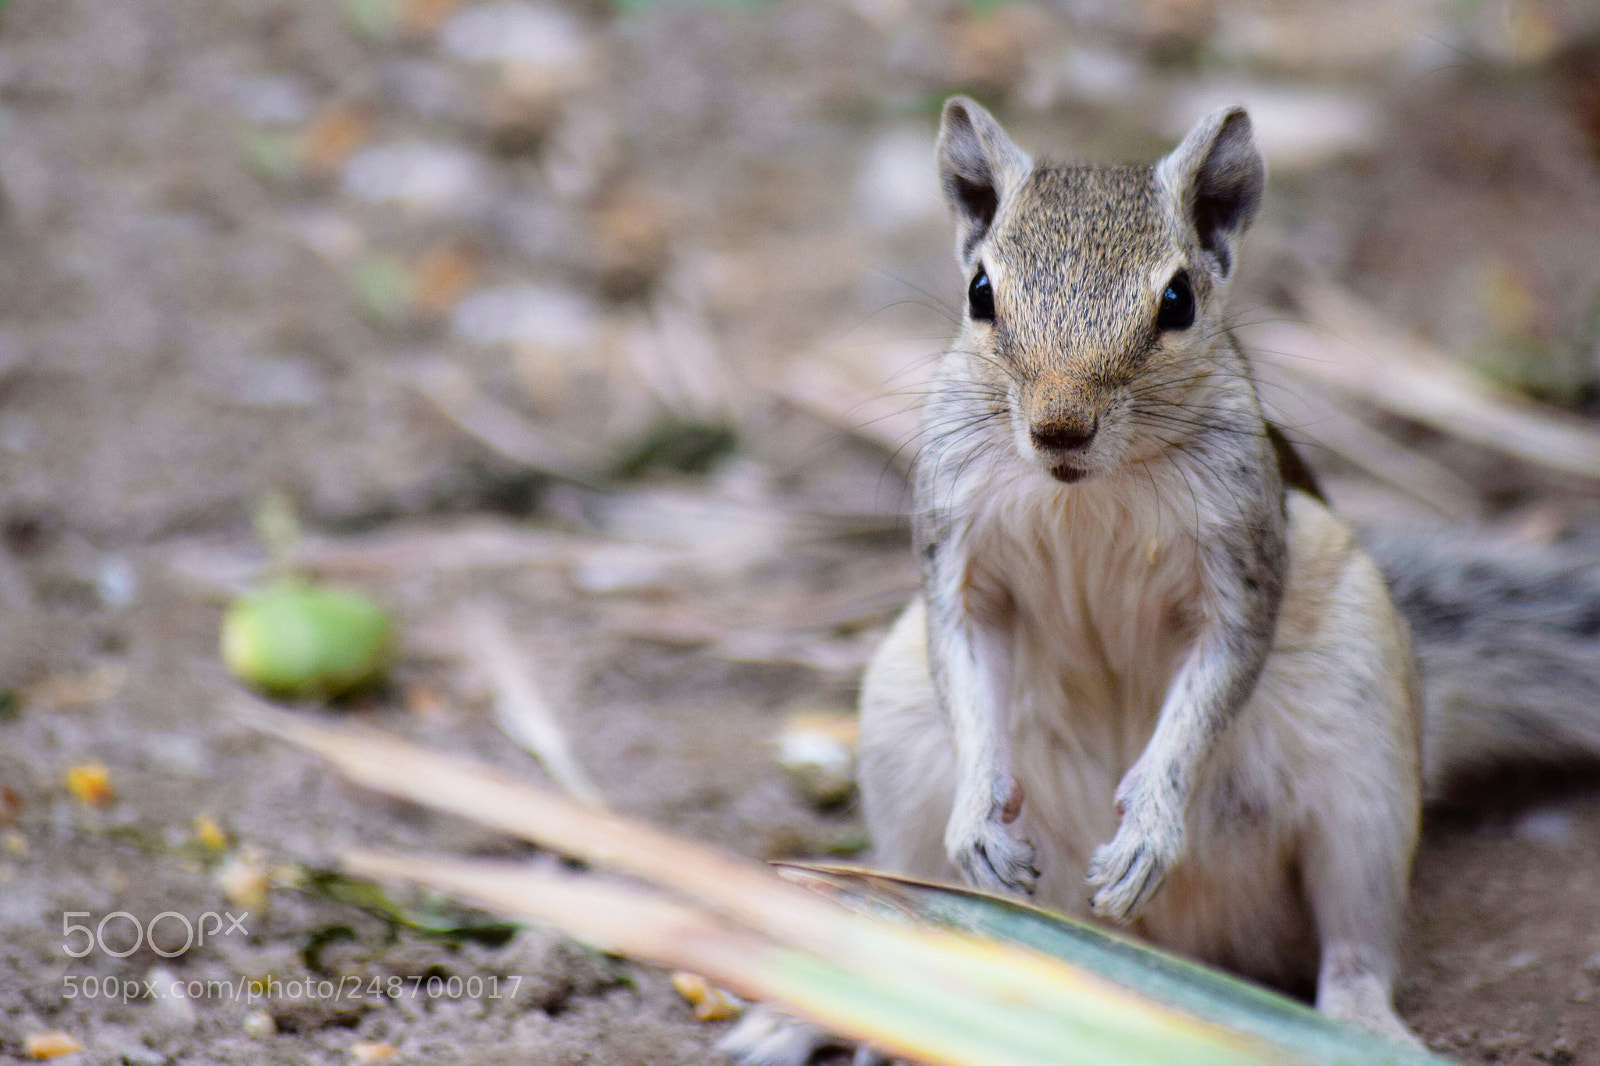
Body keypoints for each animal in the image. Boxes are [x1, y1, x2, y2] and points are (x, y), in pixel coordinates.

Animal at [722, 98, 1600, 1065]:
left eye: (1178, 300)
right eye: (980, 293)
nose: (1060, 426)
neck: (1086, 491)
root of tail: (1145, 952)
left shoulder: (1246, 561)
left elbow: (1213, 682)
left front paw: (1148, 827)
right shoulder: (955, 557)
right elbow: (965, 658)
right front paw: (979, 816)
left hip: (1362, 760)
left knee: (1356, 942)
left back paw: (1361, 1025)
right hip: (897, 739)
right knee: (904, 901)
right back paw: (819, 1007)